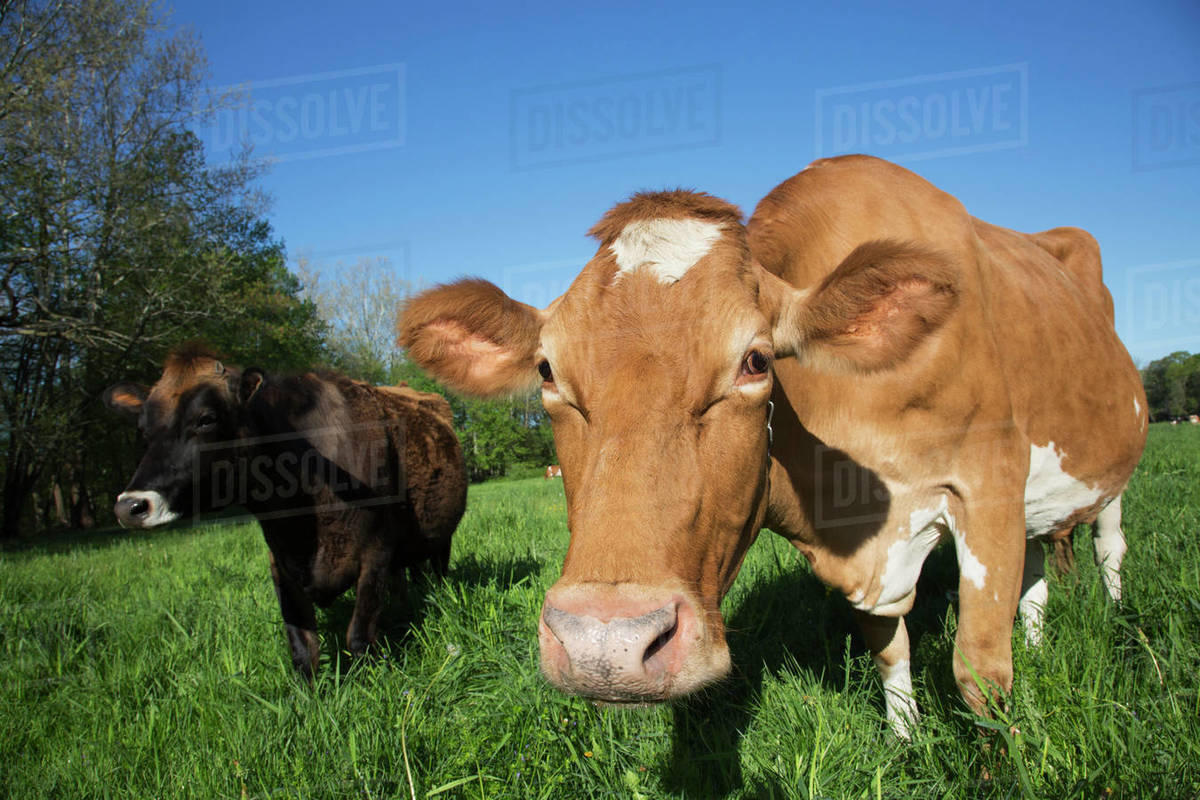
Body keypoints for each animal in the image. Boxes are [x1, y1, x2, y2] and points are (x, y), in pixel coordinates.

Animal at [103, 345, 467, 677]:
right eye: (143, 429)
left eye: (206, 419)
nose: (129, 506)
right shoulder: (281, 563)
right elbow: (302, 648)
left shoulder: (375, 554)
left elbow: (359, 637)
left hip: (441, 537)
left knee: (436, 568)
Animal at [397, 155, 1146, 736]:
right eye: (548, 371)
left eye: (756, 362)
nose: (603, 643)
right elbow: (889, 649)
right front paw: (904, 740)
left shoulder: (988, 483)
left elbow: (980, 673)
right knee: (1039, 571)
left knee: (1108, 545)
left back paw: (1115, 613)